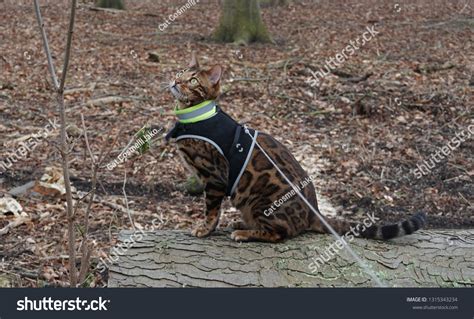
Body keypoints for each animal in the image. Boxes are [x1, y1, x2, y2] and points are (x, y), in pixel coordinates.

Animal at [167, 52, 426, 242]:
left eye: (192, 80)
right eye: (180, 72)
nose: (175, 80)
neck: (194, 114)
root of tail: (314, 211)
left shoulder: (215, 176)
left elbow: (211, 209)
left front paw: (204, 228)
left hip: (262, 200)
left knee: (281, 233)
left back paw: (244, 232)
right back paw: (242, 223)